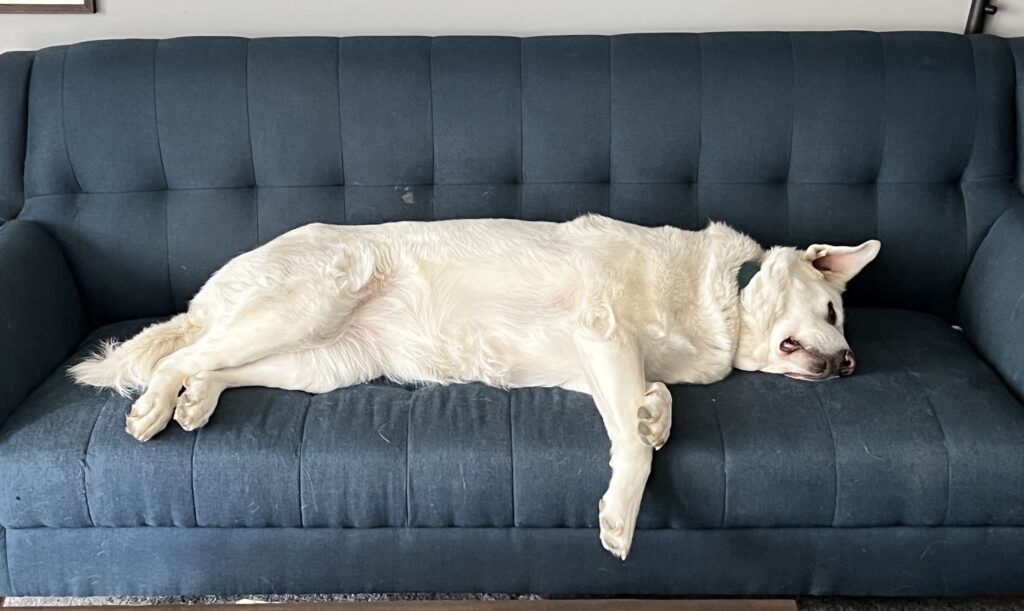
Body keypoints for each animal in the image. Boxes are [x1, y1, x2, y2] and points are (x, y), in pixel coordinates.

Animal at [70, 214, 880, 556]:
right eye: (834, 311)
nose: (848, 365)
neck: (725, 299)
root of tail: (211, 290)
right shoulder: (603, 333)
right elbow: (636, 451)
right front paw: (620, 516)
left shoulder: (598, 359)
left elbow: (647, 414)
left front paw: (654, 413)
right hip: (303, 304)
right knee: (176, 355)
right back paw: (154, 407)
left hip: (319, 361)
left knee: (208, 361)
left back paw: (197, 401)